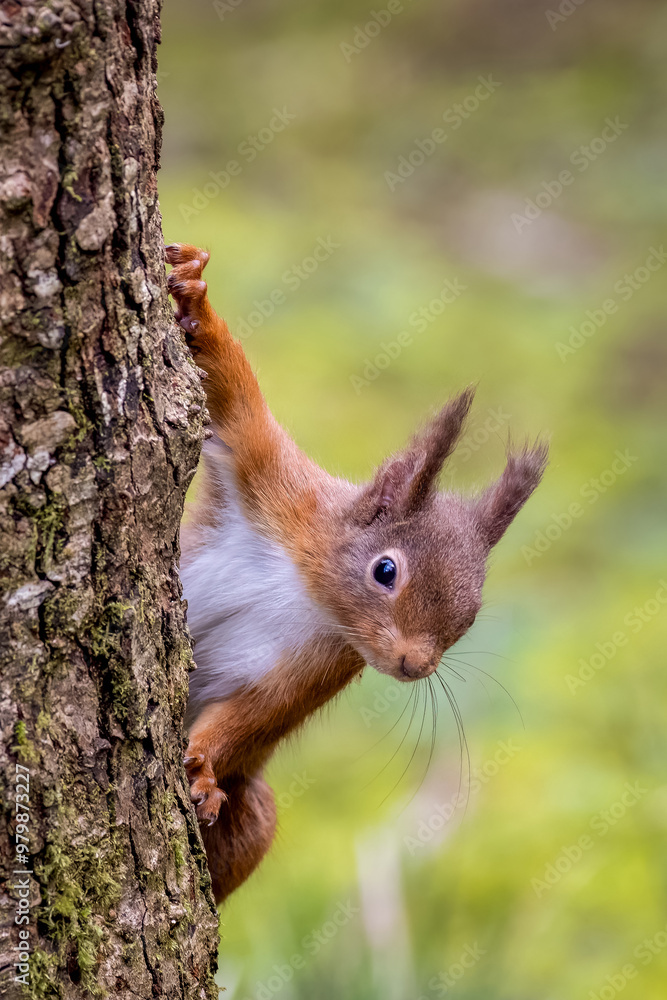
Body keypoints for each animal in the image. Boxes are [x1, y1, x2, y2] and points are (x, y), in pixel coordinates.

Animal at [165, 242, 547, 904]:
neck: (307, 589)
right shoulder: (276, 483)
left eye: (471, 617)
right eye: (385, 570)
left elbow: (254, 713)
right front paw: (193, 288)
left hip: (255, 807)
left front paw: (206, 767)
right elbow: (237, 403)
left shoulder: (321, 663)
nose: (414, 665)